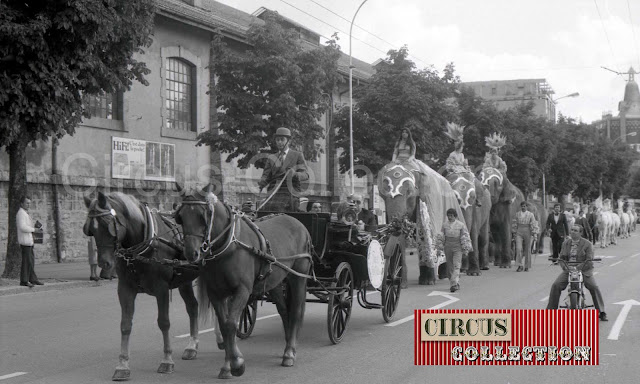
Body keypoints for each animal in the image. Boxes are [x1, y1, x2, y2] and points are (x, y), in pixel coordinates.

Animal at [82, 192, 202, 380]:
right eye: (91, 230)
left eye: (108, 226)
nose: (104, 263)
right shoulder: (125, 289)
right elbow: (125, 325)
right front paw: (122, 365)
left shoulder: (162, 289)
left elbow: (164, 322)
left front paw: (167, 360)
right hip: (185, 280)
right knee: (193, 307)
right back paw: (192, 346)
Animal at [175, 185, 312, 378]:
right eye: (180, 216)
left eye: (203, 216)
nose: (190, 253)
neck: (229, 245)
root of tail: (297, 223)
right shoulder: (216, 293)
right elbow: (224, 326)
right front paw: (227, 366)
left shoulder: (242, 290)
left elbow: (231, 324)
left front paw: (237, 364)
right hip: (275, 282)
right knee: (284, 310)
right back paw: (286, 346)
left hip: (298, 277)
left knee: (296, 311)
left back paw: (290, 352)